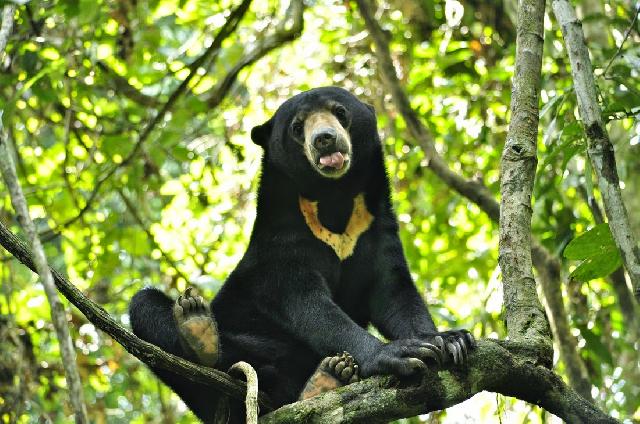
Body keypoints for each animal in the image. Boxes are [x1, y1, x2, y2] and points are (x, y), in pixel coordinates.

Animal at [129, 86, 476, 420]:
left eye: (340, 112)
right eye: (297, 127)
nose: (324, 139)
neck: (333, 197)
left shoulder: (375, 228)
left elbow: (394, 293)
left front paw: (451, 340)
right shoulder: (283, 242)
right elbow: (306, 303)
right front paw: (399, 352)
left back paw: (328, 376)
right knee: (147, 306)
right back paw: (200, 330)